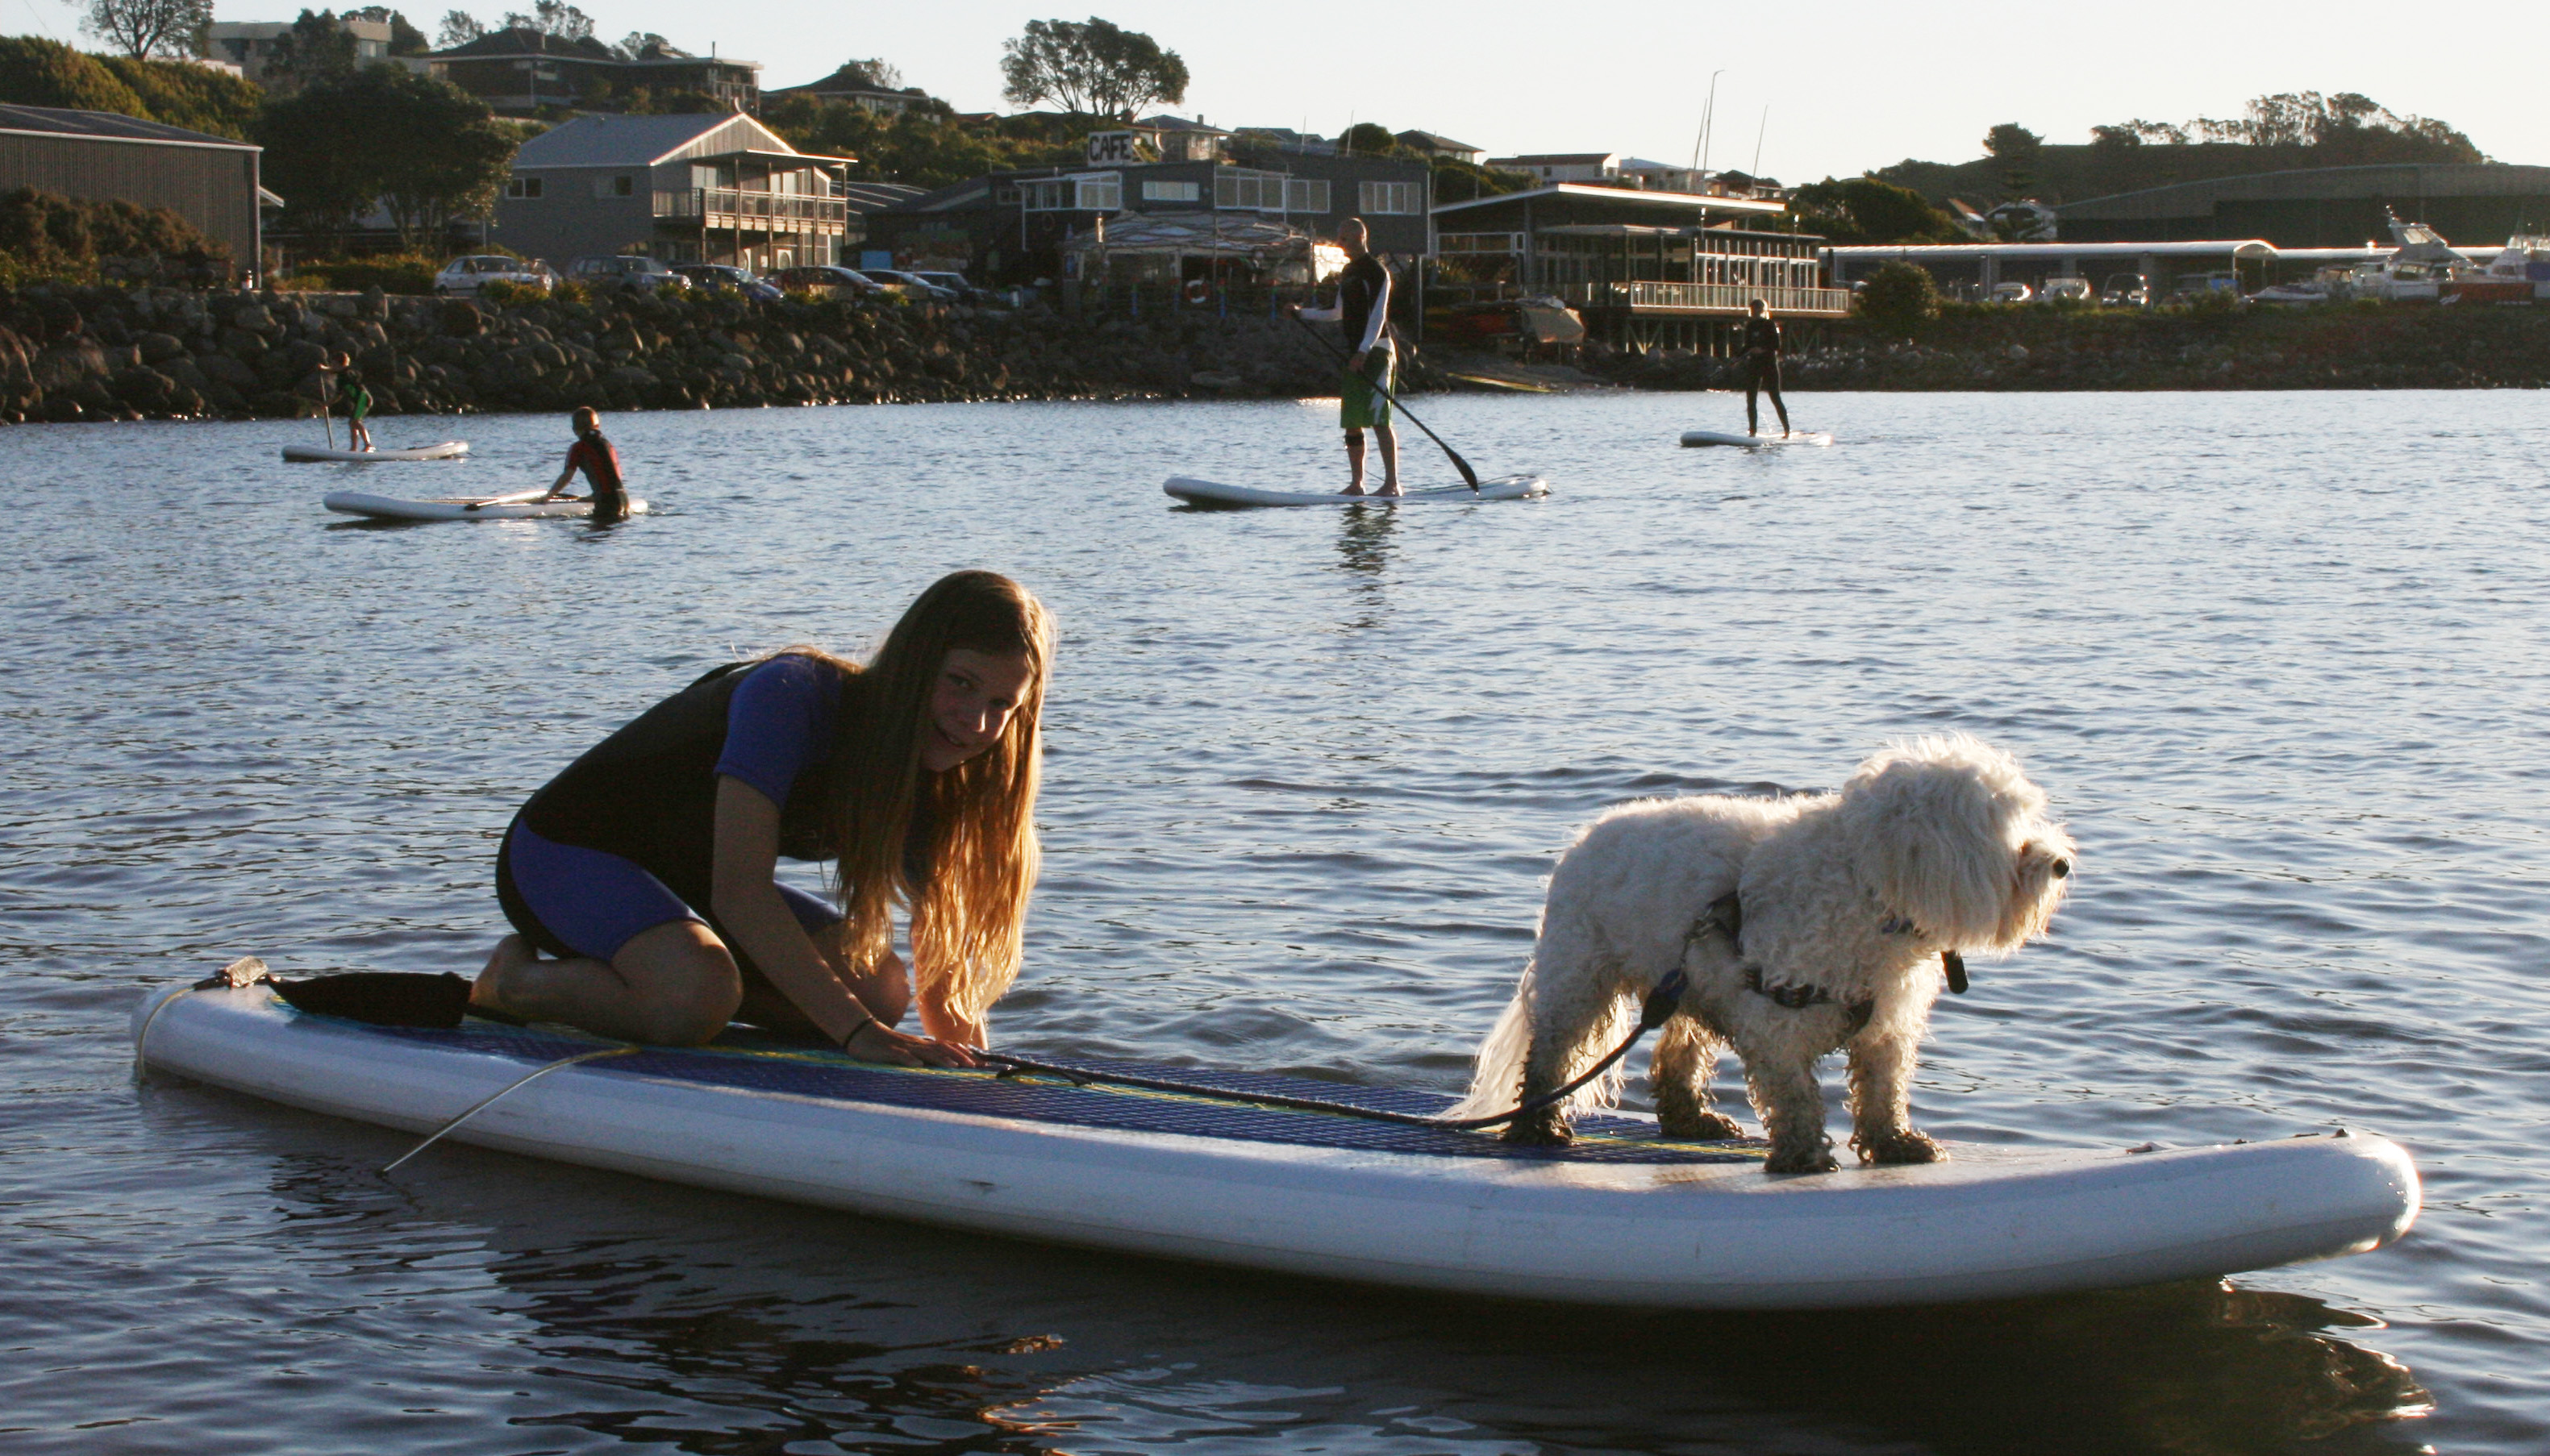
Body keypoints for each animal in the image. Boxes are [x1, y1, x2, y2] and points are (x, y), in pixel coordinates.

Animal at [1458, 734, 2070, 1178]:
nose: (2062, 863)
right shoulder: (1777, 1016)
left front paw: (1895, 1143)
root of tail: (1586, 836)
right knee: (1549, 1056)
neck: (1864, 881)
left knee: (1678, 1054)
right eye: (2007, 829)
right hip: (1580, 977)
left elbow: (1882, 1091)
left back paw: (1692, 1120)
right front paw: (1803, 1157)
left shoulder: (1887, 1026)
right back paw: (1536, 1126)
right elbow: (1794, 1096)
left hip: (1690, 980)